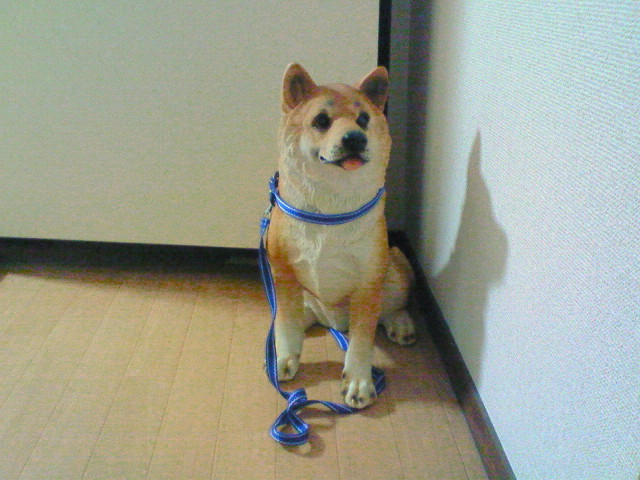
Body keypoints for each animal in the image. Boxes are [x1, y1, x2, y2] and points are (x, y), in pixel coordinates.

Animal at [266, 63, 415, 409]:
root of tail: (334, 323)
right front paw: (283, 358)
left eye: (363, 119)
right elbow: (285, 326)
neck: (329, 208)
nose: (355, 138)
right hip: (302, 297)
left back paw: (400, 323)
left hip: (396, 266)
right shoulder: (282, 272)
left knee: (391, 307)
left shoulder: (367, 283)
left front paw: (358, 381)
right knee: (296, 318)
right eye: (321, 121)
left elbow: (361, 341)